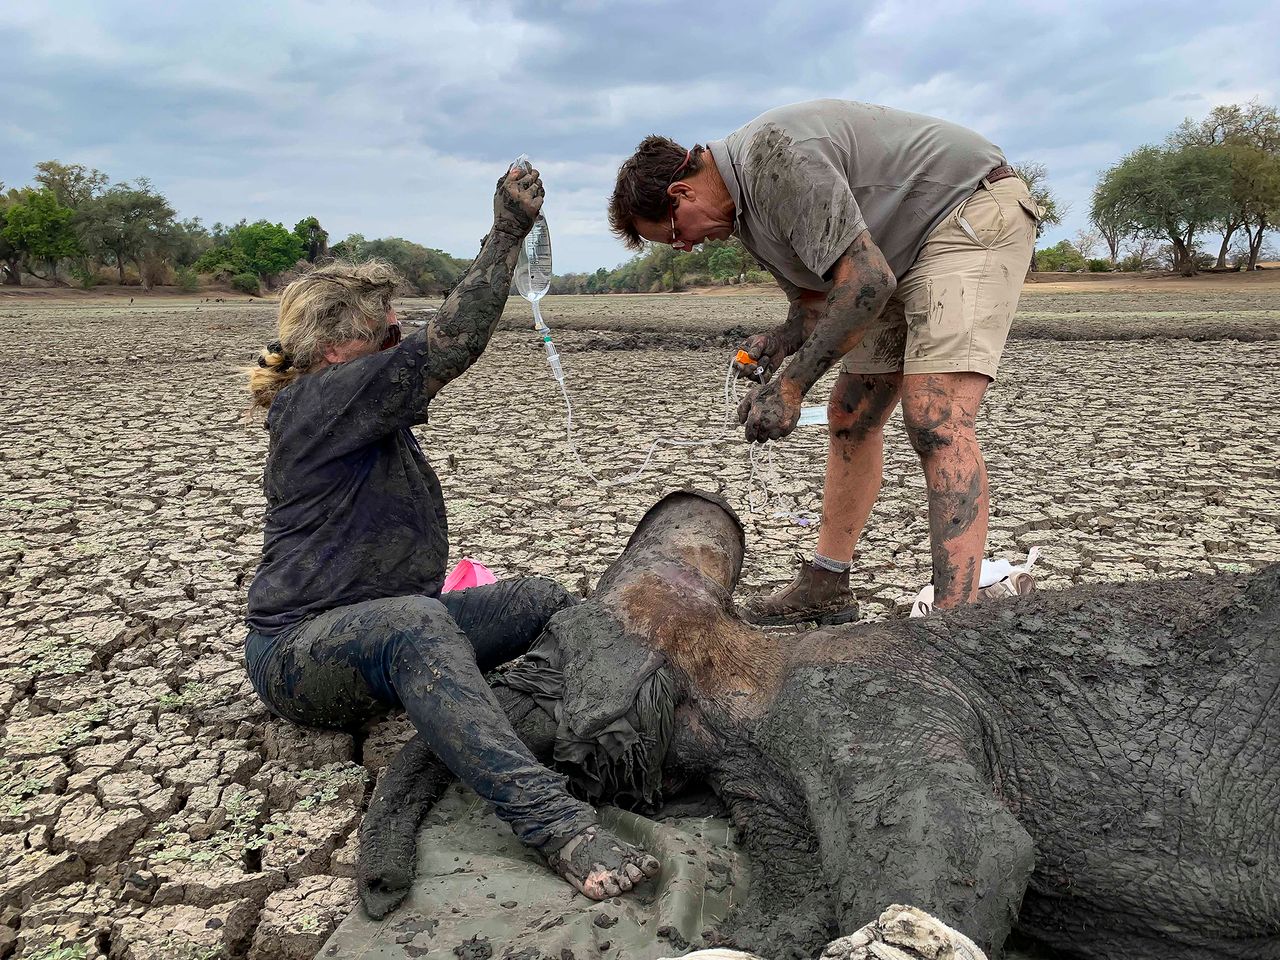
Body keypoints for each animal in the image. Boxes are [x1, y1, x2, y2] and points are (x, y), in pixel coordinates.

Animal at [360, 491, 1280, 957]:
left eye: (542, 656)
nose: (379, 895)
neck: (746, 664)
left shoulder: (857, 703)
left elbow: (969, 853)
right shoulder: (760, 777)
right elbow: (790, 916)